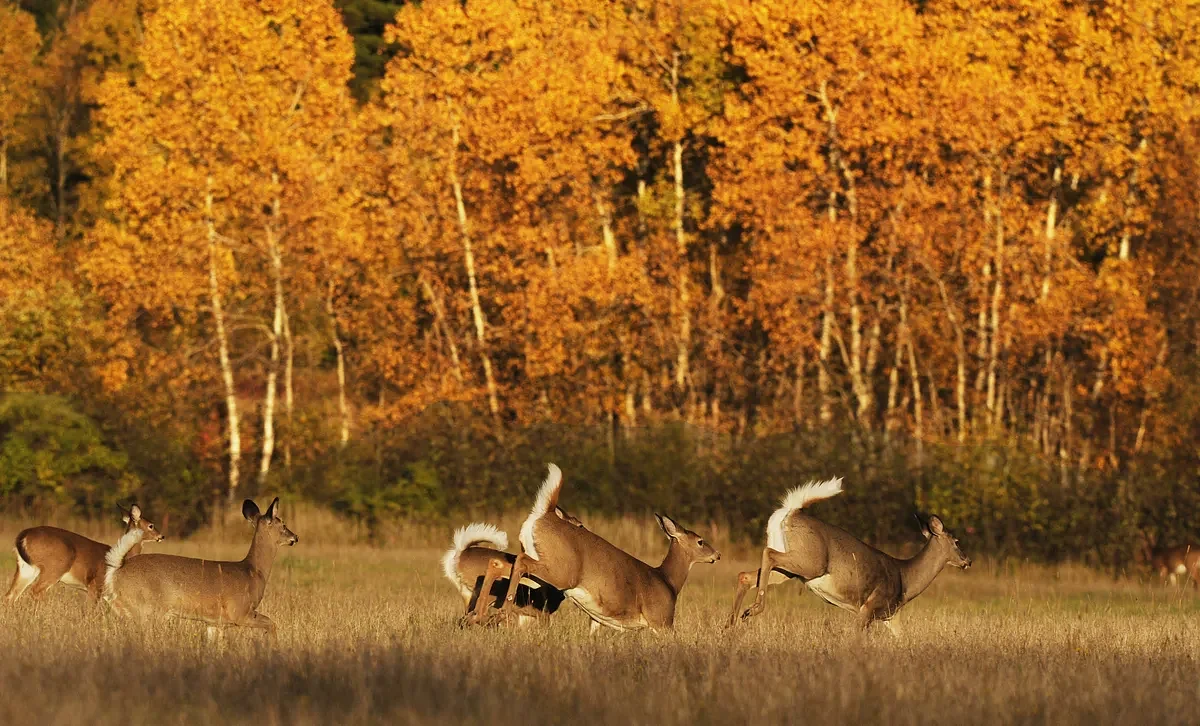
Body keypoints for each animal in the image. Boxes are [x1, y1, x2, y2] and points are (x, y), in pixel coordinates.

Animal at [6, 504, 165, 604]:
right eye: (151, 525)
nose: (161, 536)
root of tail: (23, 535)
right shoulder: (95, 584)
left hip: (26, 568)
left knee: (10, 595)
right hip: (54, 567)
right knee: (35, 591)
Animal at [103, 497, 297, 637]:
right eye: (283, 524)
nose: (295, 537)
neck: (253, 571)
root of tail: (117, 570)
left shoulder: (215, 623)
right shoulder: (240, 612)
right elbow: (272, 624)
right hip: (146, 610)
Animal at [443, 506, 585, 626]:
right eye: (579, 525)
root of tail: (460, 553)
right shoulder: (543, 611)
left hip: (467, 594)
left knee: (464, 619)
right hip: (485, 593)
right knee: (473, 615)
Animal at [487, 463, 721, 633]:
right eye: (700, 541)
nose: (717, 555)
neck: (668, 581)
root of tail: (546, 513)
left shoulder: (597, 619)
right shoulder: (662, 619)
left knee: (506, 564)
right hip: (562, 572)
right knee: (518, 563)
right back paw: (500, 611)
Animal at [730, 477, 970, 633]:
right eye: (957, 542)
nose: (967, 561)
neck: (906, 578)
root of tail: (791, 511)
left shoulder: (891, 616)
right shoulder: (869, 608)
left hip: (792, 568)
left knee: (746, 574)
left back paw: (731, 623)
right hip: (810, 562)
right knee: (768, 553)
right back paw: (752, 610)